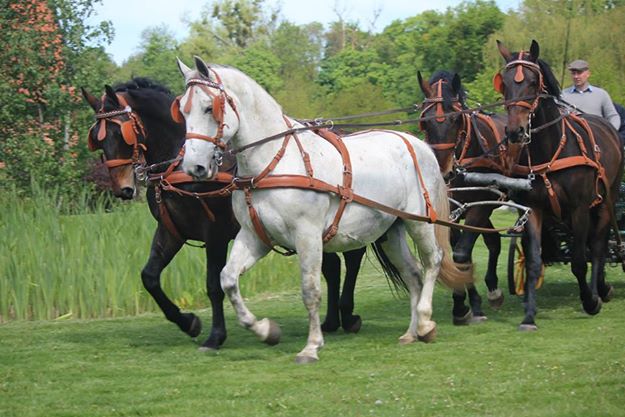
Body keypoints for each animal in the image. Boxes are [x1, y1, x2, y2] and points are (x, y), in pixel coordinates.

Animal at [81, 79, 366, 352]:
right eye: (96, 137)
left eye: (121, 132)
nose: (123, 189)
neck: (179, 166)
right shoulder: (171, 231)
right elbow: (149, 277)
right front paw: (188, 322)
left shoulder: (215, 234)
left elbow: (213, 286)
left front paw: (215, 336)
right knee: (332, 266)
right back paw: (331, 320)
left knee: (352, 258)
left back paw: (347, 314)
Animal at [173, 57, 470, 362]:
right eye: (182, 110)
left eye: (209, 107)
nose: (194, 167)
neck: (274, 162)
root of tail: (417, 143)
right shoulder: (254, 236)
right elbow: (228, 280)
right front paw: (266, 331)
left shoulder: (307, 235)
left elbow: (311, 290)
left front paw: (312, 345)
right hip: (392, 230)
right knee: (412, 273)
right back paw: (411, 332)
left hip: (419, 222)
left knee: (432, 262)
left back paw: (424, 323)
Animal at [414, 70, 508, 324]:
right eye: (425, 121)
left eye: (456, 119)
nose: (444, 171)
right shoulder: (452, 212)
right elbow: (457, 253)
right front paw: (464, 303)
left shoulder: (480, 205)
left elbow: (461, 254)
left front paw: (468, 304)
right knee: (493, 241)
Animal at [494, 40, 620, 330]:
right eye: (504, 83)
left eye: (532, 82)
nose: (515, 131)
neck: (550, 150)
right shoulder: (534, 209)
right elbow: (534, 261)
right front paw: (529, 315)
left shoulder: (579, 208)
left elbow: (579, 261)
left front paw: (590, 301)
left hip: (605, 202)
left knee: (598, 245)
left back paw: (599, 290)